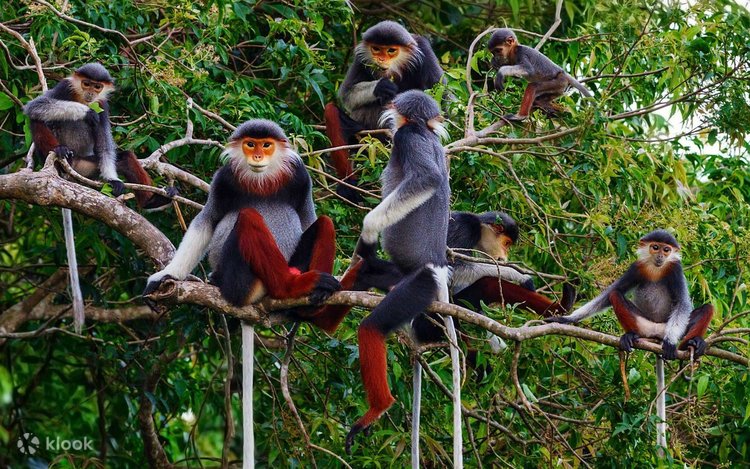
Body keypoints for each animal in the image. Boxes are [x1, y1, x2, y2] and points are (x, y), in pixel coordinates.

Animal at [23, 63, 176, 210]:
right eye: (86, 83)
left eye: (97, 87)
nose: (90, 93)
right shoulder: (64, 86)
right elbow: (35, 105)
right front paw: (87, 112)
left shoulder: (102, 105)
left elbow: (104, 146)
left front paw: (113, 180)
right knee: (36, 119)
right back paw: (59, 151)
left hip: (86, 168)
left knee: (126, 158)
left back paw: (152, 202)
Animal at [142, 119, 341, 312]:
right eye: (251, 144)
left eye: (266, 145)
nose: (257, 157)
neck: (261, 181)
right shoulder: (223, 178)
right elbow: (206, 222)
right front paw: (166, 275)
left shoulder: (301, 178)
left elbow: (308, 220)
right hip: (244, 283)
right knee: (248, 216)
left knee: (325, 222)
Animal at [324, 20, 443, 201]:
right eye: (376, 49)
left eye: (391, 51)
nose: (380, 59)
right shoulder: (360, 58)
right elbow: (347, 94)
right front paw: (382, 86)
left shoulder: (425, 51)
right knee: (331, 111)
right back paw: (348, 186)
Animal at [344, 90, 455, 457]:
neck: (425, 131)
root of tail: (436, 267)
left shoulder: (408, 138)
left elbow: (426, 179)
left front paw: (367, 232)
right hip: (401, 277)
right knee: (367, 274)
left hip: (418, 287)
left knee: (371, 328)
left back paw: (379, 408)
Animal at [546, 230, 714, 360]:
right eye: (655, 247)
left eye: (666, 250)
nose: (661, 256)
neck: (655, 269)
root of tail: (656, 333)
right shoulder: (636, 267)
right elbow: (609, 294)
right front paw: (566, 319)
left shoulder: (675, 269)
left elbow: (682, 303)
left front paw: (671, 342)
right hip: (644, 325)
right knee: (615, 294)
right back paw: (631, 336)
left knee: (708, 308)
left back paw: (693, 343)